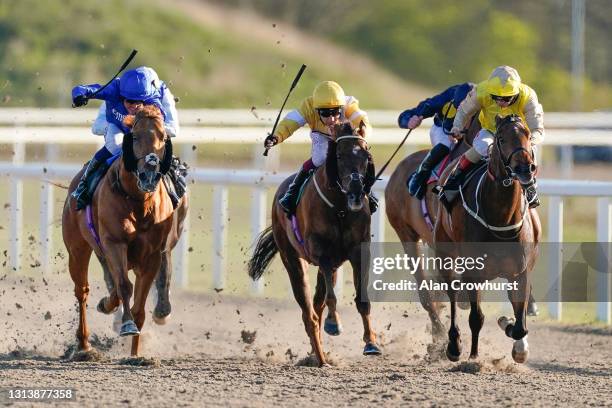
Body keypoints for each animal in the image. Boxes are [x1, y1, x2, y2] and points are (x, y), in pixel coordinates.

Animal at [61, 105, 188, 356]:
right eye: (135, 136)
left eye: (163, 137)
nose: (149, 173)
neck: (139, 202)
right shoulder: (114, 243)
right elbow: (124, 286)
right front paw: (126, 324)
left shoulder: (152, 254)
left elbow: (139, 302)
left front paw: (135, 354)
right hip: (78, 248)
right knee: (82, 290)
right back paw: (84, 344)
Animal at [247, 121, 380, 366]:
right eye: (339, 155)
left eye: (366, 155)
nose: (357, 193)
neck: (340, 208)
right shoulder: (322, 254)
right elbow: (331, 297)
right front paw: (334, 324)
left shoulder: (357, 252)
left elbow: (361, 300)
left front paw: (371, 342)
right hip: (293, 259)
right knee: (309, 313)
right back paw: (320, 358)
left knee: (317, 307)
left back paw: (317, 353)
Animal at [436, 115, 540, 364]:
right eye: (501, 138)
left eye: (528, 135)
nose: (525, 168)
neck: (501, 219)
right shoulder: (473, 271)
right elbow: (476, 317)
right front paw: (473, 355)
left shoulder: (520, 272)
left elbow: (520, 324)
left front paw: (510, 328)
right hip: (445, 253)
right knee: (452, 293)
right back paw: (454, 344)